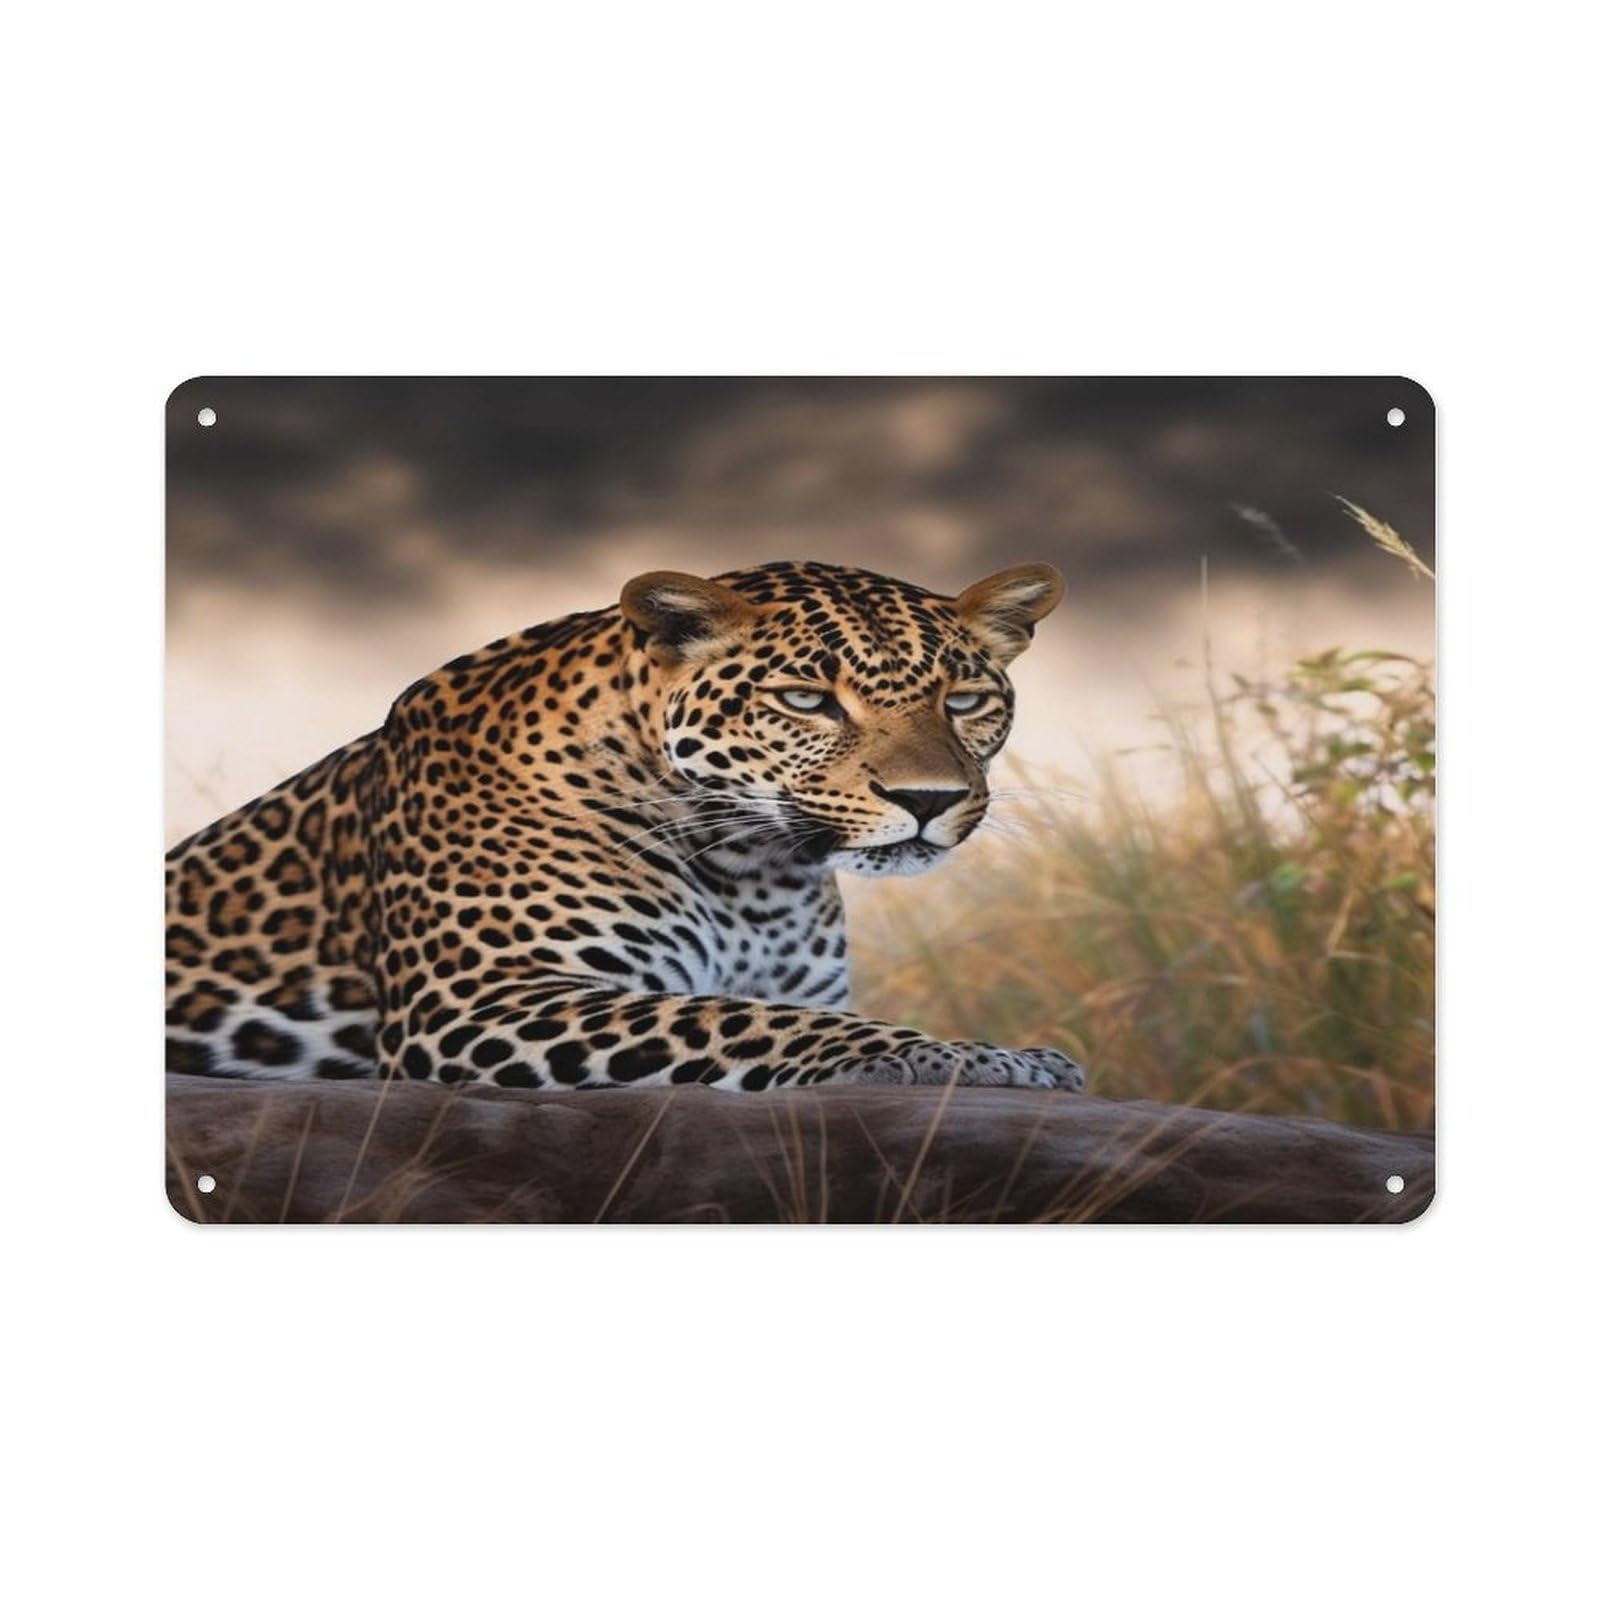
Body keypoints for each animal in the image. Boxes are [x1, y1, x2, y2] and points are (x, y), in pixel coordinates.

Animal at [165, 559, 1086, 1093]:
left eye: (964, 701)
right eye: (806, 700)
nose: (927, 798)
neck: (755, 869)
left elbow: (774, 1010)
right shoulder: (478, 1000)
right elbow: (736, 1018)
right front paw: (975, 1057)